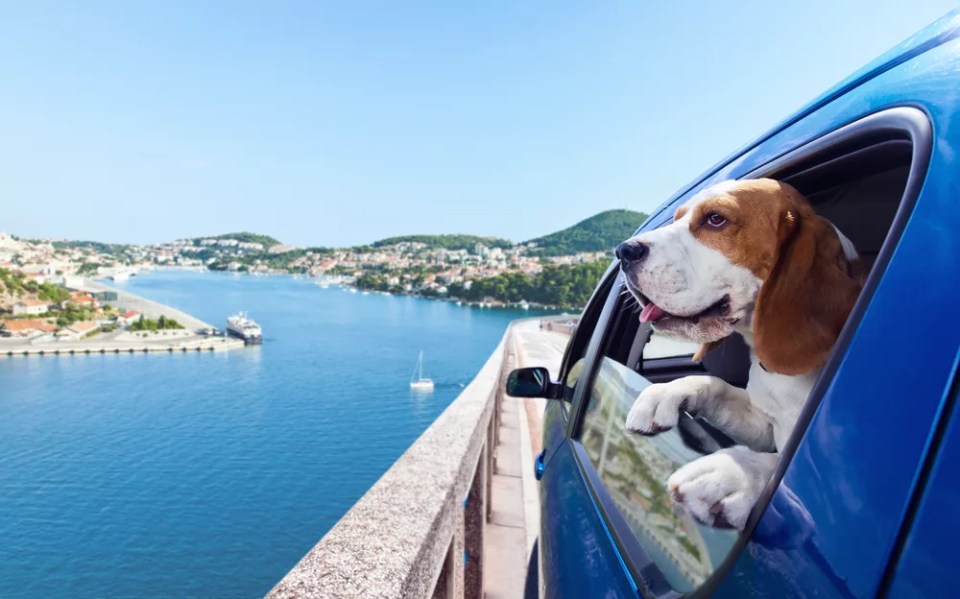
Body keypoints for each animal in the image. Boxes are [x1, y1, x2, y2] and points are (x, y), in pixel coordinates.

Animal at [624, 178, 864, 528]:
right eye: (677, 218)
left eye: (715, 219)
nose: (623, 251)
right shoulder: (763, 425)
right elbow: (715, 385)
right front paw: (665, 393)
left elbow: (778, 467)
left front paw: (734, 473)